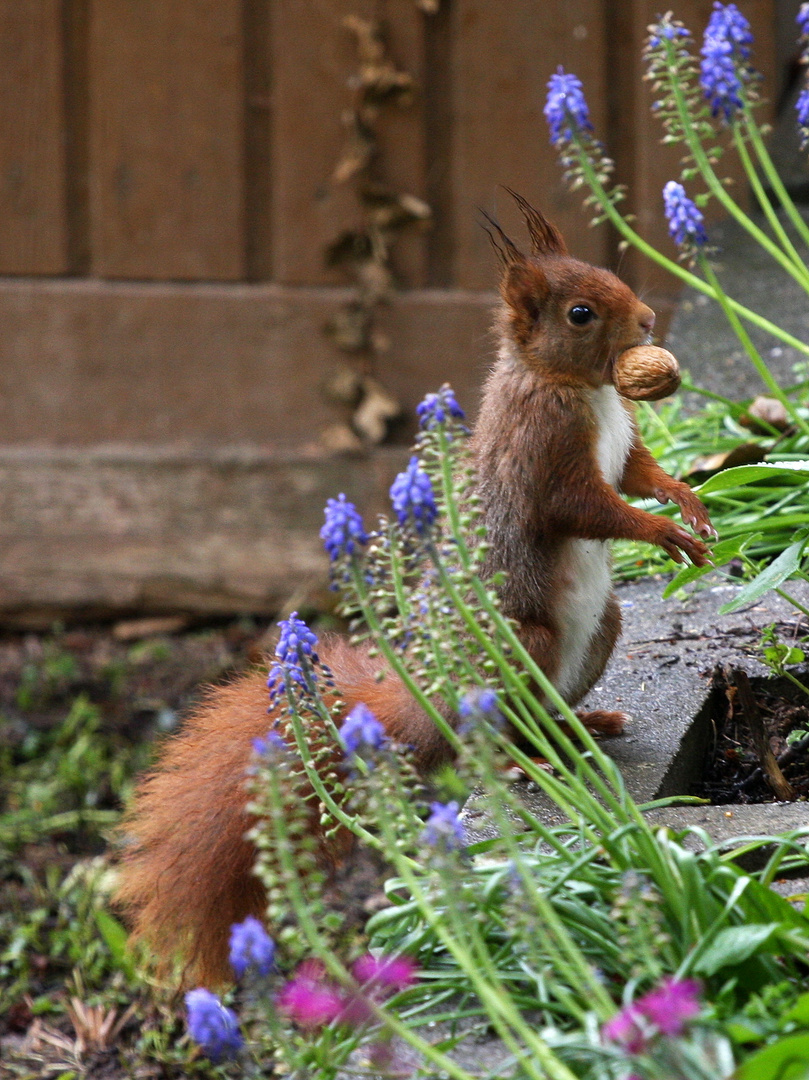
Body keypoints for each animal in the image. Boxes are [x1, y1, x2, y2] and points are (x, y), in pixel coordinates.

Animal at [113, 198, 712, 989]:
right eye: (580, 313)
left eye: (608, 275)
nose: (645, 320)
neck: (582, 388)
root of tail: (430, 702)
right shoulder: (544, 454)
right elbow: (588, 508)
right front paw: (661, 531)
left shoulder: (621, 444)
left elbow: (642, 471)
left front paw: (684, 499)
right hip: (525, 645)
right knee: (497, 734)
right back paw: (529, 758)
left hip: (602, 627)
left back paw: (586, 724)